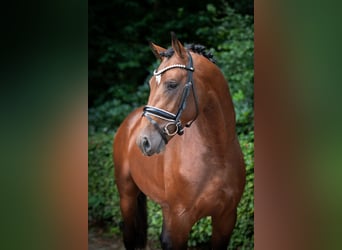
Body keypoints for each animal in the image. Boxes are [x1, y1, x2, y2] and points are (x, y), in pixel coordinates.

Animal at [114, 32, 246, 249]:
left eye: (172, 84)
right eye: (151, 84)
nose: (144, 141)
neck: (217, 153)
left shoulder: (225, 220)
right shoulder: (179, 222)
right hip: (127, 196)